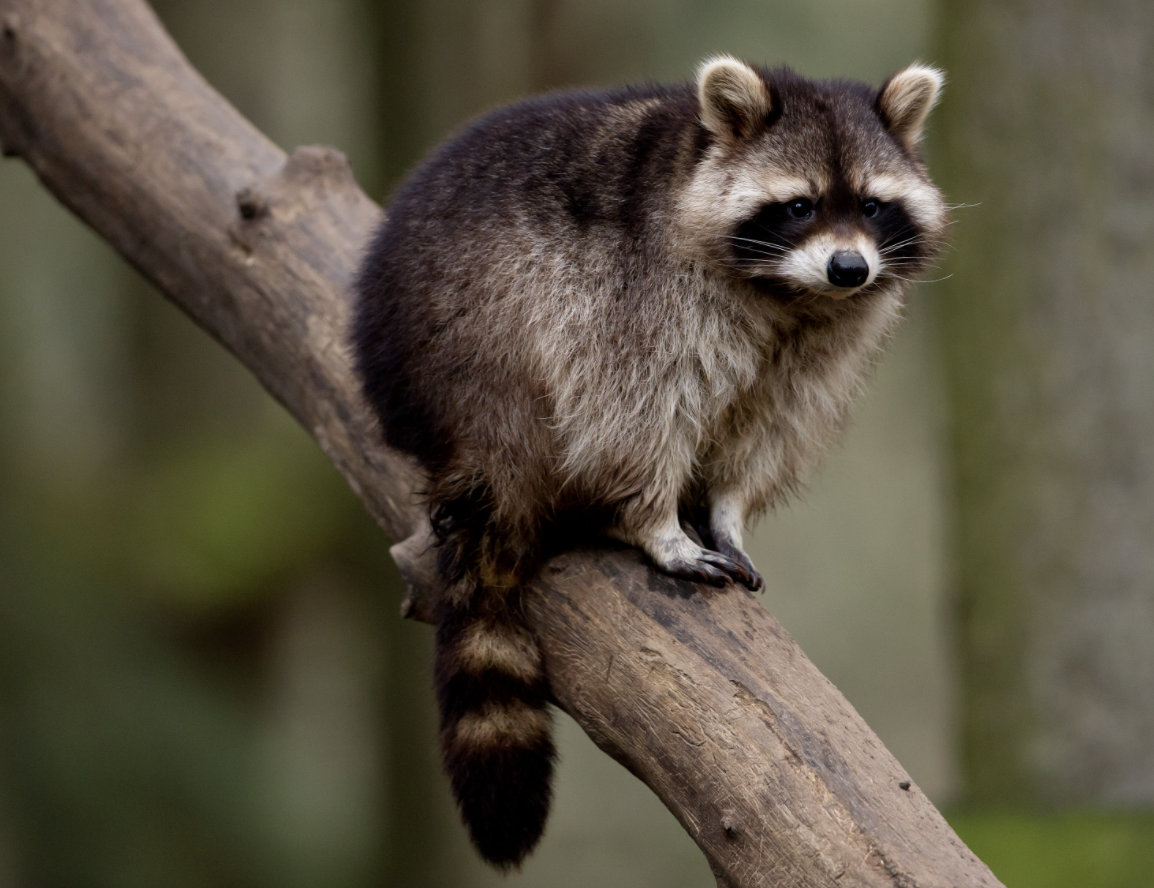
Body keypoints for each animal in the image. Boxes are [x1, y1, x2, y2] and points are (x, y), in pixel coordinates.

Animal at [353, 57, 946, 868]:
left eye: (872, 205)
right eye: (799, 206)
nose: (849, 267)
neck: (790, 293)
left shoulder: (817, 346)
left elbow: (763, 428)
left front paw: (727, 509)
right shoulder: (643, 294)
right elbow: (632, 412)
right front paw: (656, 522)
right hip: (481, 338)